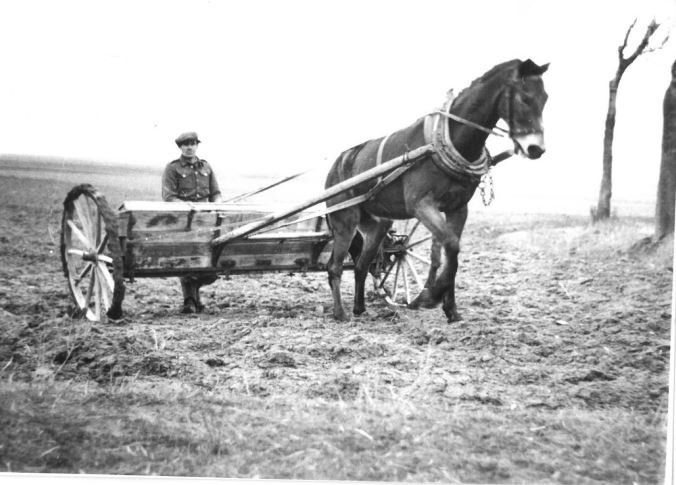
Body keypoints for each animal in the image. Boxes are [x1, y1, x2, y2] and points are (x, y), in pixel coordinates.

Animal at [324, 57, 548, 322]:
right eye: (525, 98)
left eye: (545, 98)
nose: (536, 149)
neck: (445, 142)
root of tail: (338, 162)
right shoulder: (421, 206)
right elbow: (450, 245)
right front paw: (430, 296)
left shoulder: (458, 208)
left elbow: (451, 252)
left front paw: (450, 309)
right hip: (344, 220)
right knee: (335, 267)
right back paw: (340, 313)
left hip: (378, 225)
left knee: (361, 264)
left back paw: (359, 307)